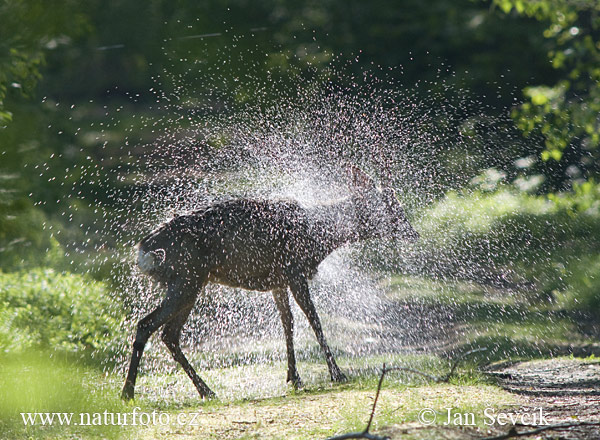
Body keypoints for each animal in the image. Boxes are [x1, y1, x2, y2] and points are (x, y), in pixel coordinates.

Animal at [121, 167, 418, 400]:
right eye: (391, 206)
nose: (413, 233)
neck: (318, 236)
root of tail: (143, 251)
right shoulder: (295, 270)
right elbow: (314, 320)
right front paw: (337, 373)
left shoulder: (278, 280)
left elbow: (288, 323)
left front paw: (294, 377)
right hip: (186, 278)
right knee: (147, 324)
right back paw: (128, 392)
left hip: (191, 283)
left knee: (168, 334)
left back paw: (206, 390)